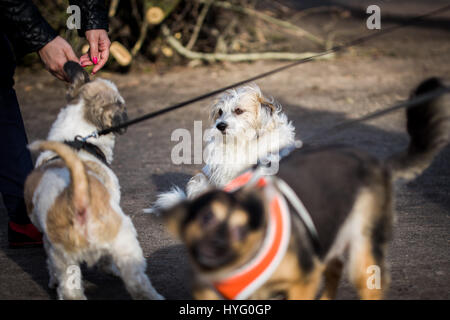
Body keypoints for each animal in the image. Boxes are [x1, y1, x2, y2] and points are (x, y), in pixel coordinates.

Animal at [23, 62, 163, 300]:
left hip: (67, 256)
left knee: (70, 289)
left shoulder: (49, 244)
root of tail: (78, 199)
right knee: (137, 284)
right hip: (124, 241)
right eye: (121, 103)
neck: (75, 139)